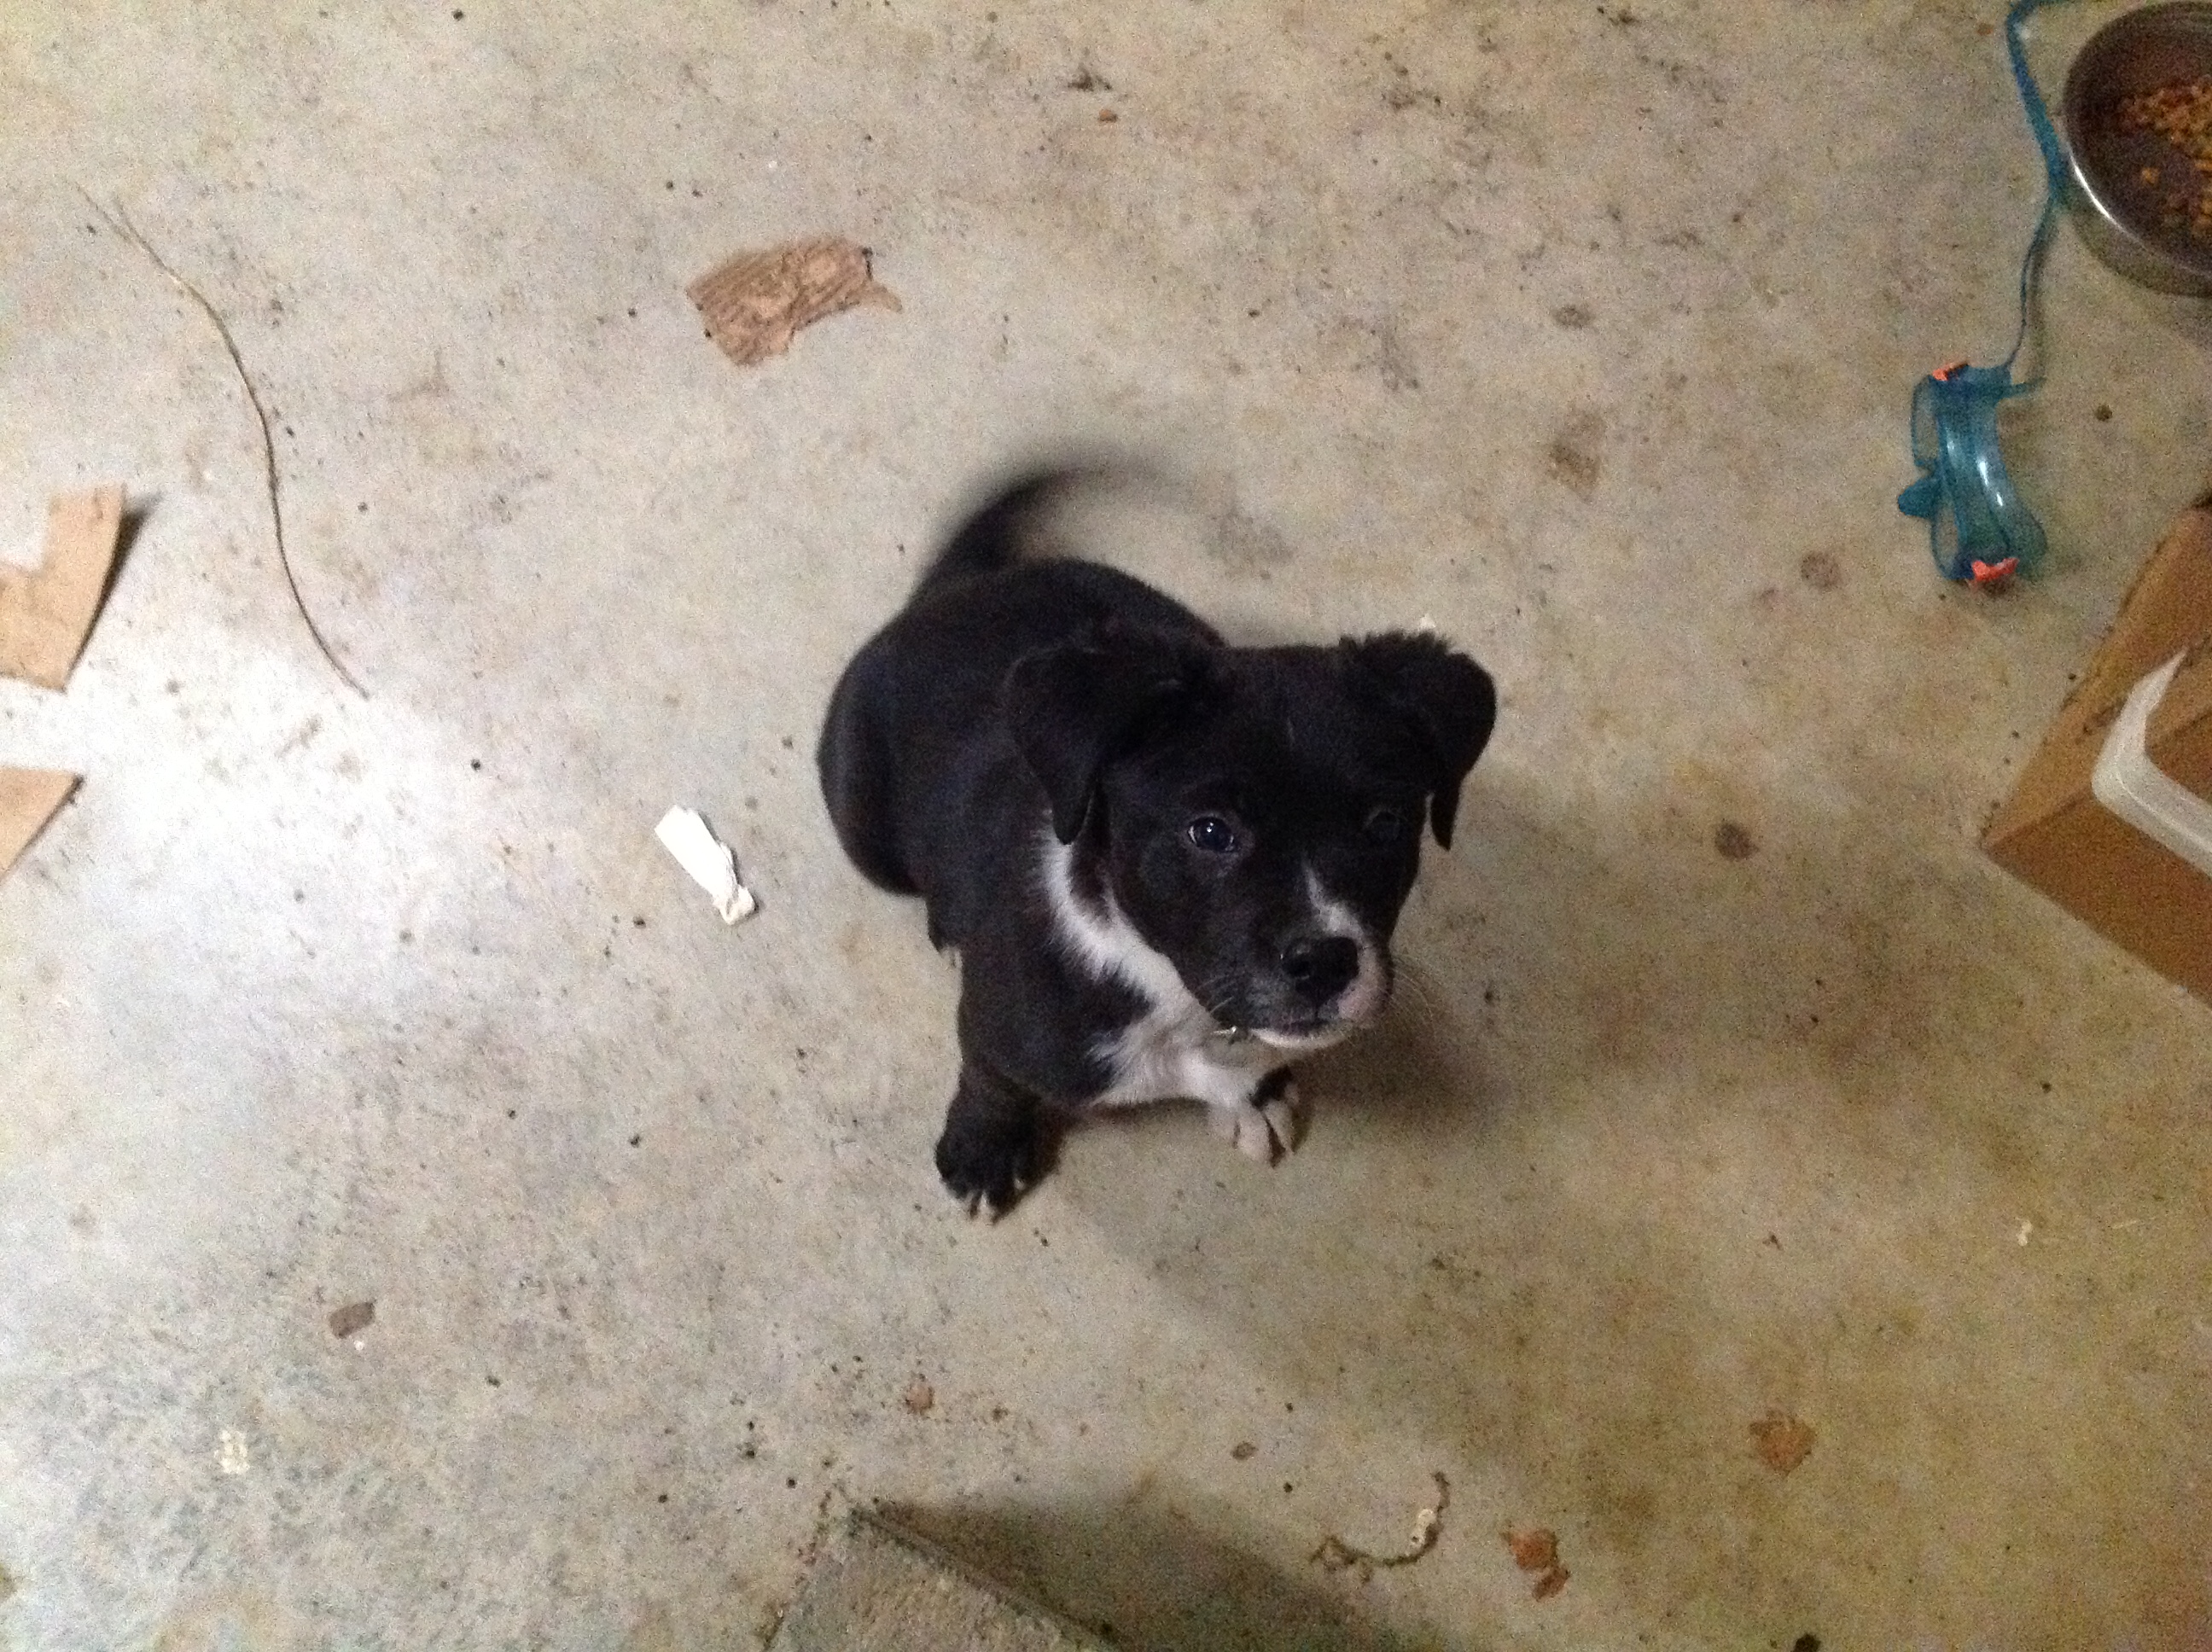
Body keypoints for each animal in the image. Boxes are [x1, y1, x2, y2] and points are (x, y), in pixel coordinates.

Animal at [817, 471, 1495, 1213]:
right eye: (1211, 831)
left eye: (1385, 824)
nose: (1323, 962)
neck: (1180, 1002)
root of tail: (957, 589)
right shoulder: (997, 1030)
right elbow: (991, 1080)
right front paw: (983, 1151)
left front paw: (1256, 1096)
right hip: (863, 825)